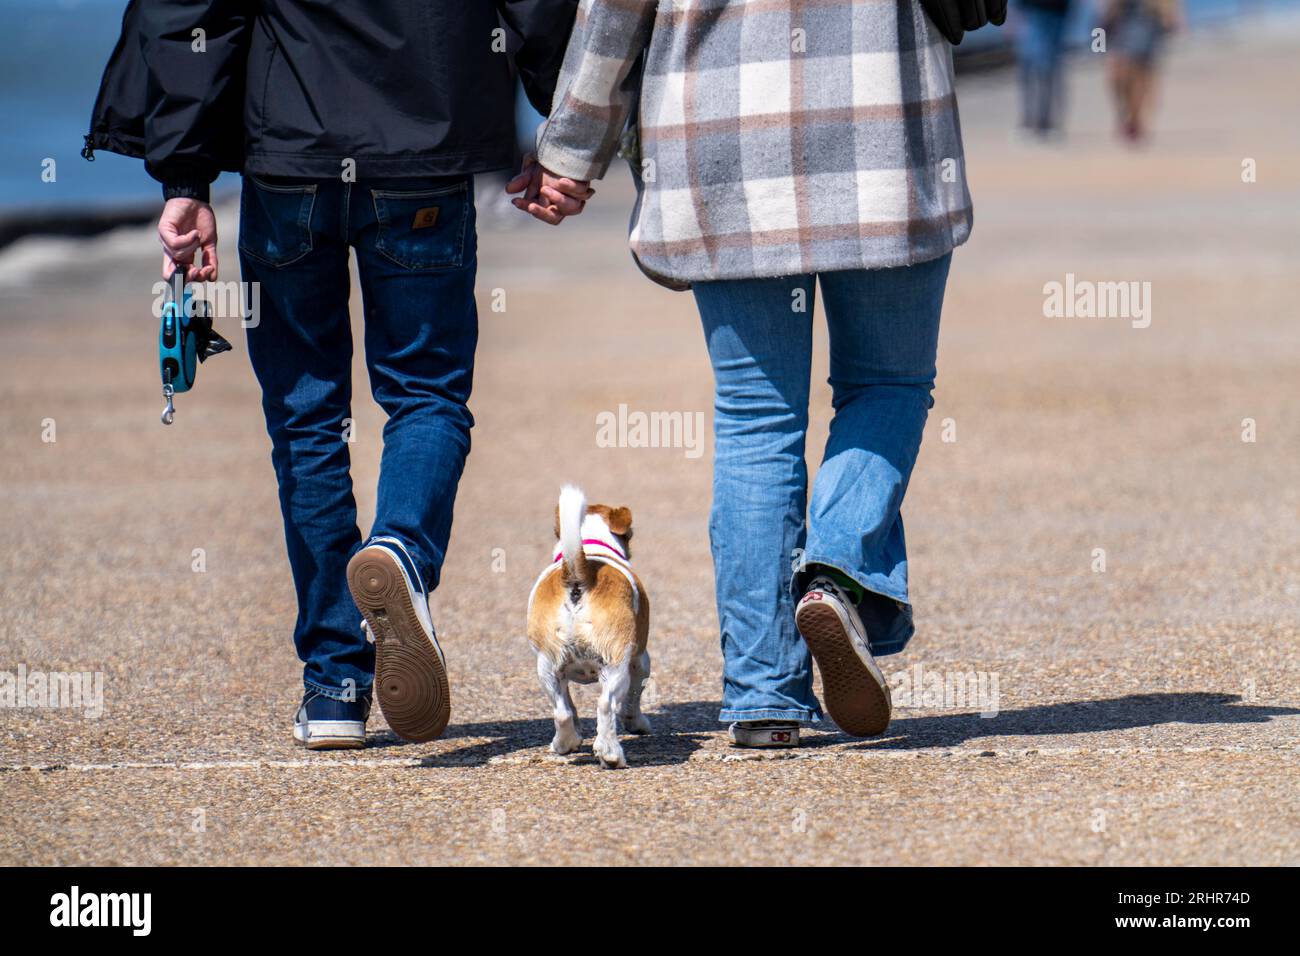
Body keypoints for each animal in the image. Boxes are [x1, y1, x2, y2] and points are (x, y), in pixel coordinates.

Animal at [525, 486, 650, 770]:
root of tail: (578, 575)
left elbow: (570, 707)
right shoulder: (640, 661)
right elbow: (633, 700)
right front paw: (638, 724)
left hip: (547, 667)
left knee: (561, 712)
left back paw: (565, 744)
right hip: (616, 665)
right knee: (605, 705)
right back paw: (611, 754)